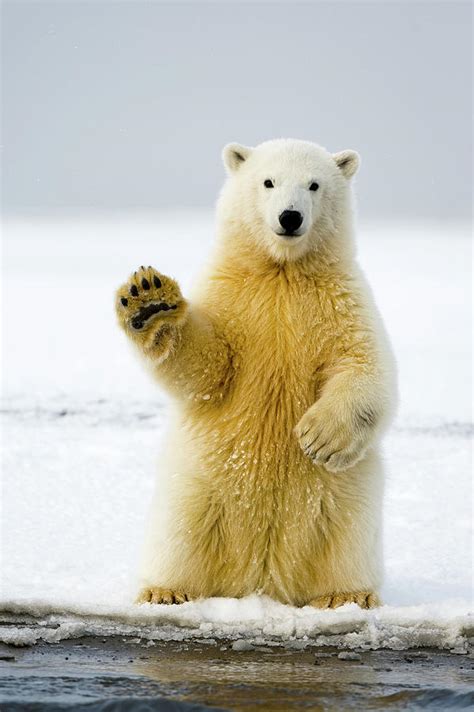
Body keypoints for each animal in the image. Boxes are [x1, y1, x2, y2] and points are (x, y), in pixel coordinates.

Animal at [115, 140, 396, 612]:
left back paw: (345, 596)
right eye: (268, 182)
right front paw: (149, 301)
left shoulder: (342, 301)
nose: (290, 217)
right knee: (180, 531)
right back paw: (165, 590)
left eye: (314, 185)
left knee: (346, 536)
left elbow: (364, 365)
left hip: (346, 499)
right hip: (197, 485)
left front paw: (319, 437)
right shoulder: (232, 296)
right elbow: (209, 367)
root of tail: (262, 578)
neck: (282, 271)